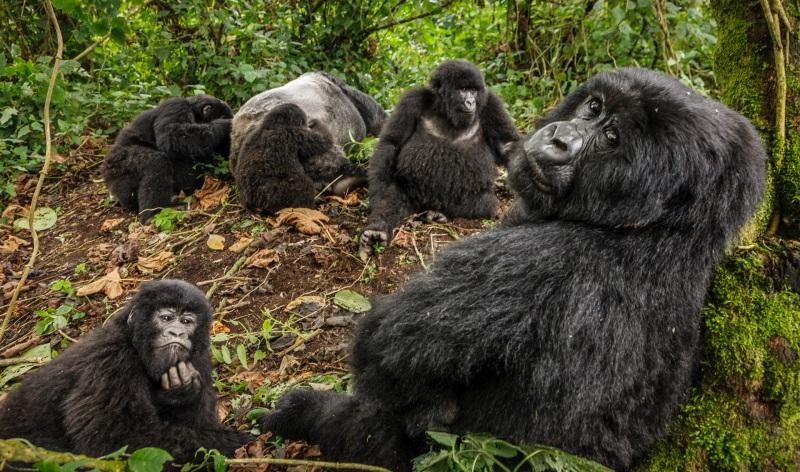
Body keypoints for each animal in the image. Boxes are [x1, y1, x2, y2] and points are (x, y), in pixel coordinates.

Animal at [0, 278, 250, 462]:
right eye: (166, 317)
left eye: (187, 322)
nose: (177, 333)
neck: (136, 346)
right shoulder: (111, 361)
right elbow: (115, 440)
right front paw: (234, 442)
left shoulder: (200, 360)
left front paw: (183, 395)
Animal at [101, 95, 233, 224]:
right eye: (223, 116)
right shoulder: (176, 107)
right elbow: (172, 136)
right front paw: (224, 125)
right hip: (118, 167)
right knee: (156, 162)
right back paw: (153, 214)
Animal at [236, 103, 364, 216]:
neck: (273, 126)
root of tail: (255, 205)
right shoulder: (297, 134)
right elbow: (324, 139)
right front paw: (315, 122)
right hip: (274, 194)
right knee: (304, 184)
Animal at [360, 59, 520, 260]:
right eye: (463, 89)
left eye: (474, 90)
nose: (471, 102)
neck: (445, 110)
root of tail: (426, 205)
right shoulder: (413, 100)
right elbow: (391, 143)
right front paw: (378, 190)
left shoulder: (492, 104)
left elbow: (507, 144)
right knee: (393, 198)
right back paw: (376, 231)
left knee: (486, 204)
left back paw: (440, 214)